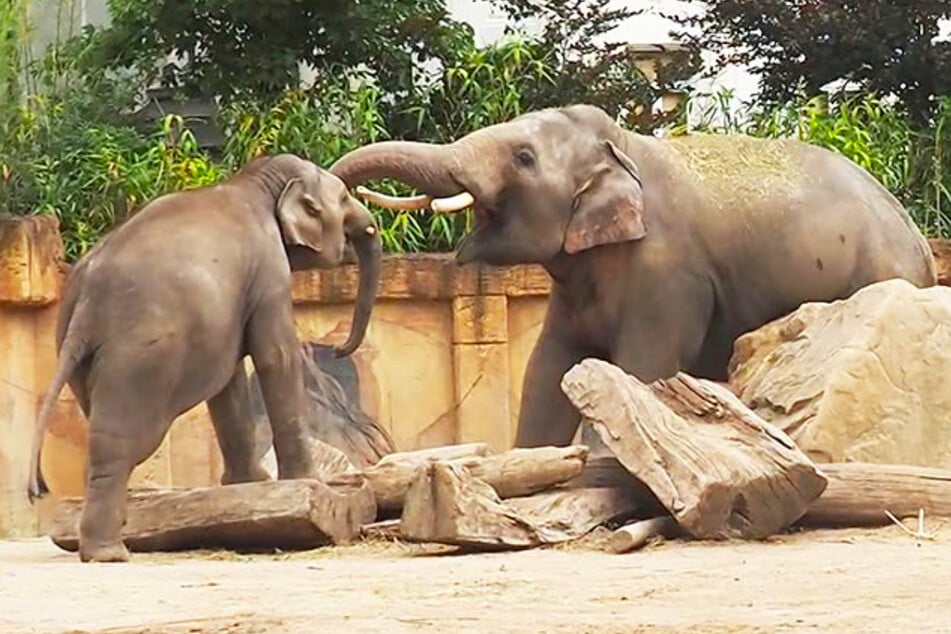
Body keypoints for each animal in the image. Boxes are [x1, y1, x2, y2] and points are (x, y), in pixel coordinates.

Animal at [27, 153, 382, 562]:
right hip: (139, 359)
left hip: (86, 358)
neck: (256, 182)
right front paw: (308, 479)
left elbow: (228, 382)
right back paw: (110, 554)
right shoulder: (269, 271)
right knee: (121, 443)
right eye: (343, 198)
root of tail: (86, 302)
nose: (339, 349)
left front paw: (250, 483)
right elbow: (274, 356)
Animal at [330, 103, 937, 451]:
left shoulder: (667, 274)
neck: (624, 148)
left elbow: (640, 368)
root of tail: (923, 249)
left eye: (524, 157)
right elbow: (548, 369)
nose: (341, 348)